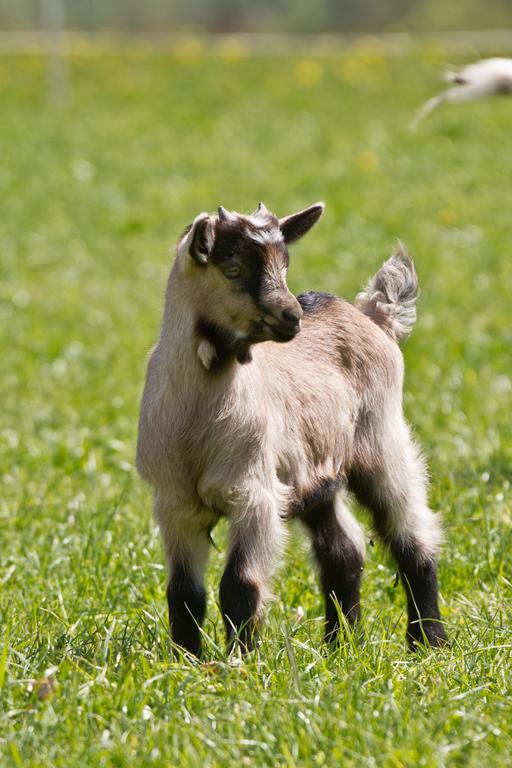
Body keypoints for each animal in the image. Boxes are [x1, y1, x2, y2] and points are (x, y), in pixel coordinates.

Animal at [136, 202, 448, 656]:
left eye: (285, 265)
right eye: (232, 268)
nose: (291, 317)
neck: (196, 420)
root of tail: (372, 315)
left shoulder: (255, 494)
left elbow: (239, 586)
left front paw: (239, 662)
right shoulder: (175, 503)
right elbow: (183, 593)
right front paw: (186, 661)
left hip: (383, 441)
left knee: (412, 536)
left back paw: (427, 643)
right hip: (316, 475)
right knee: (344, 550)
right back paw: (341, 646)